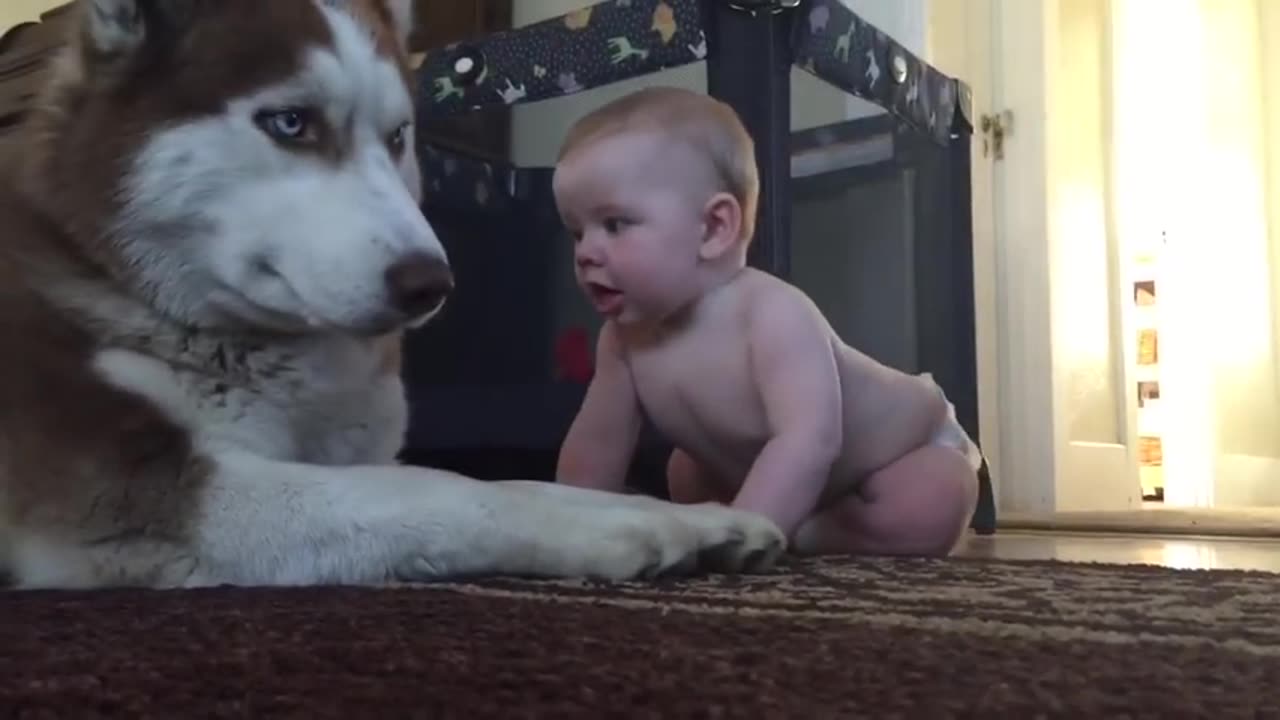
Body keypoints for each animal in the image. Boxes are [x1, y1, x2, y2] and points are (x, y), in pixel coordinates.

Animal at [0, 0, 778, 589]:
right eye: (290, 122)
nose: (432, 283)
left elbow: (510, 481)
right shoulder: (129, 495)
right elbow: (442, 490)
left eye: (399, 136)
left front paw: (693, 515)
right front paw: (628, 524)